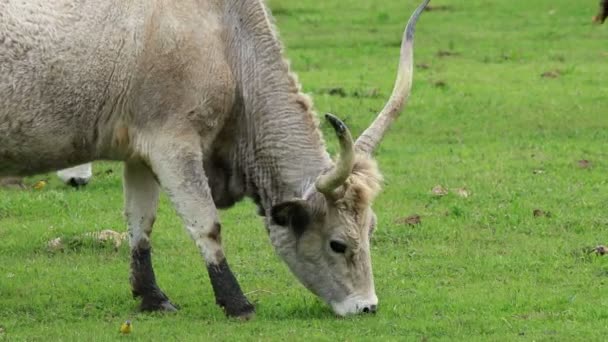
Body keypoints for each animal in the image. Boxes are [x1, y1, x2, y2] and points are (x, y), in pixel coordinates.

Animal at [0, 0, 428, 318]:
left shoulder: (139, 151)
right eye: (338, 244)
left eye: (371, 229)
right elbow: (206, 224)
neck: (224, 38)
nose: (367, 306)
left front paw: (151, 297)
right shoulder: (173, 145)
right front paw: (236, 301)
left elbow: (141, 223)